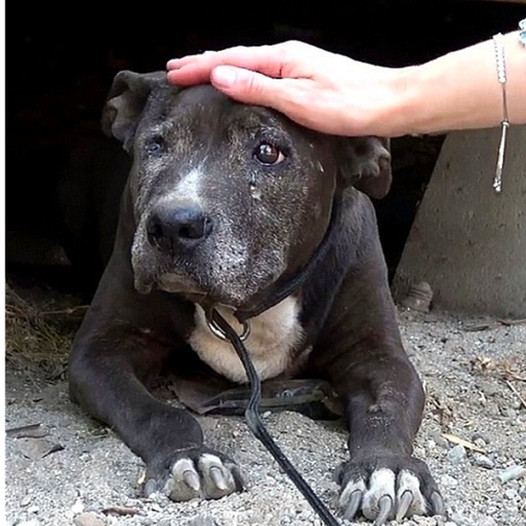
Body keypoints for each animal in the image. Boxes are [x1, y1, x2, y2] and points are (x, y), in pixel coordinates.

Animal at [69, 72, 446, 524]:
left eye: (268, 152)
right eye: (156, 144)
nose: (173, 224)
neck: (247, 305)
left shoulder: (376, 355)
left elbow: (386, 407)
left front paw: (386, 468)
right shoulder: (99, 352)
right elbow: (156, 412)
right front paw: (189, 456)